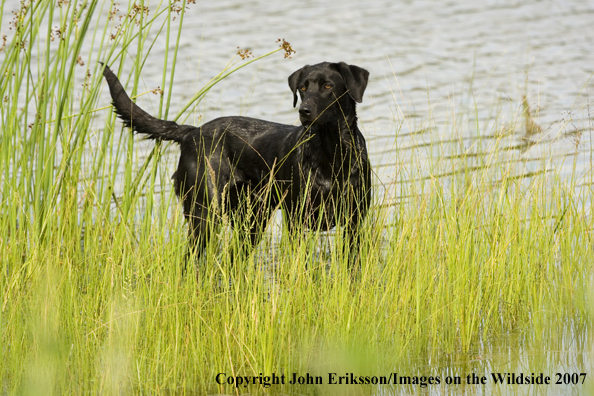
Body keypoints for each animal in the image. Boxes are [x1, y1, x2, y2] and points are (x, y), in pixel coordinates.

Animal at [102, 62, 370, 264]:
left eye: (328, 86)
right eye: (303, 88)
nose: (304, 110)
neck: (331, 153)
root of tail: (191, 132)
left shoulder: (355, 222)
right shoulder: (296, 220)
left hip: (251, 221)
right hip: (205, 214)